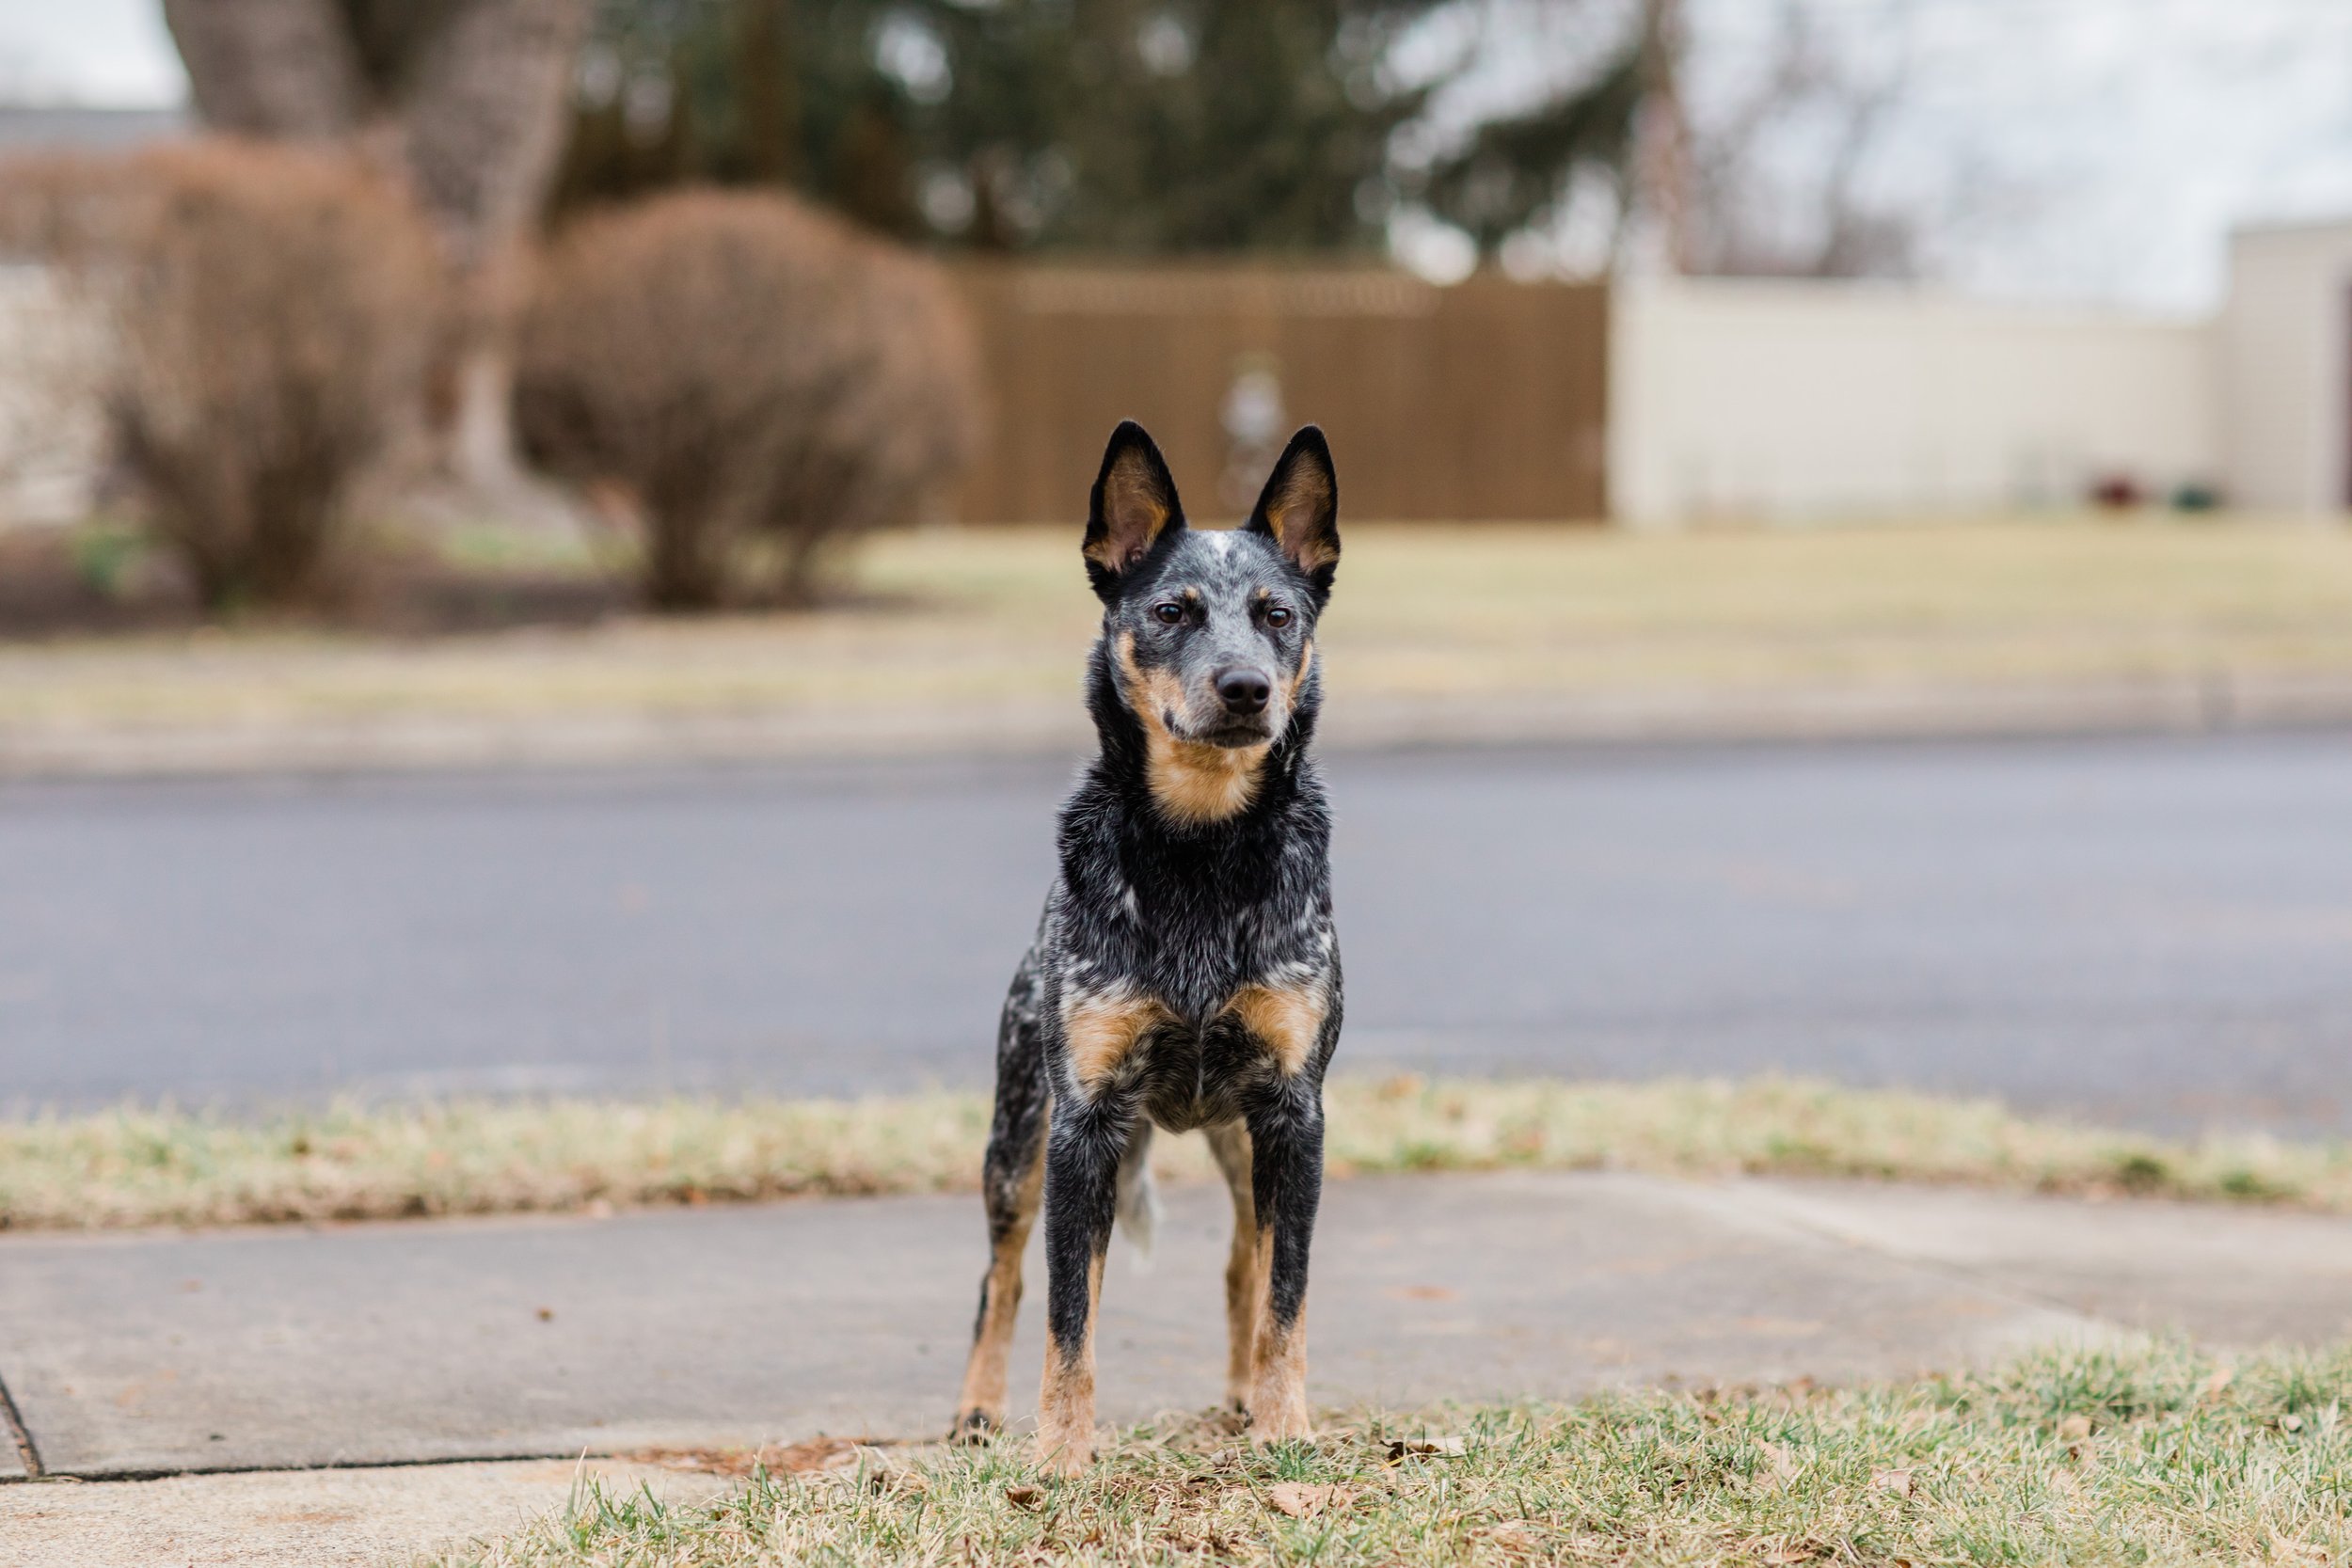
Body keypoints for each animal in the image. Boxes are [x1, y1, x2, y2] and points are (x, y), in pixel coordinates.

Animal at [950, 416, 1345, 1476]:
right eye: (1171, 610)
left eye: (1277, 614)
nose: (1246, 687)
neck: (1200, 853)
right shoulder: (1082, 1122)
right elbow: (1067, 1315)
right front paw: (1059, 1455)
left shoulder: (1293, 1115)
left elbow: (1288, 1296)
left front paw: (1285, 1429)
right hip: (1018, 1140)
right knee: (1003, 1276)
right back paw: (975, 1411)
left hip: (1241, 1144)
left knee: (1244, 1262)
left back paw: (1242, 1397)